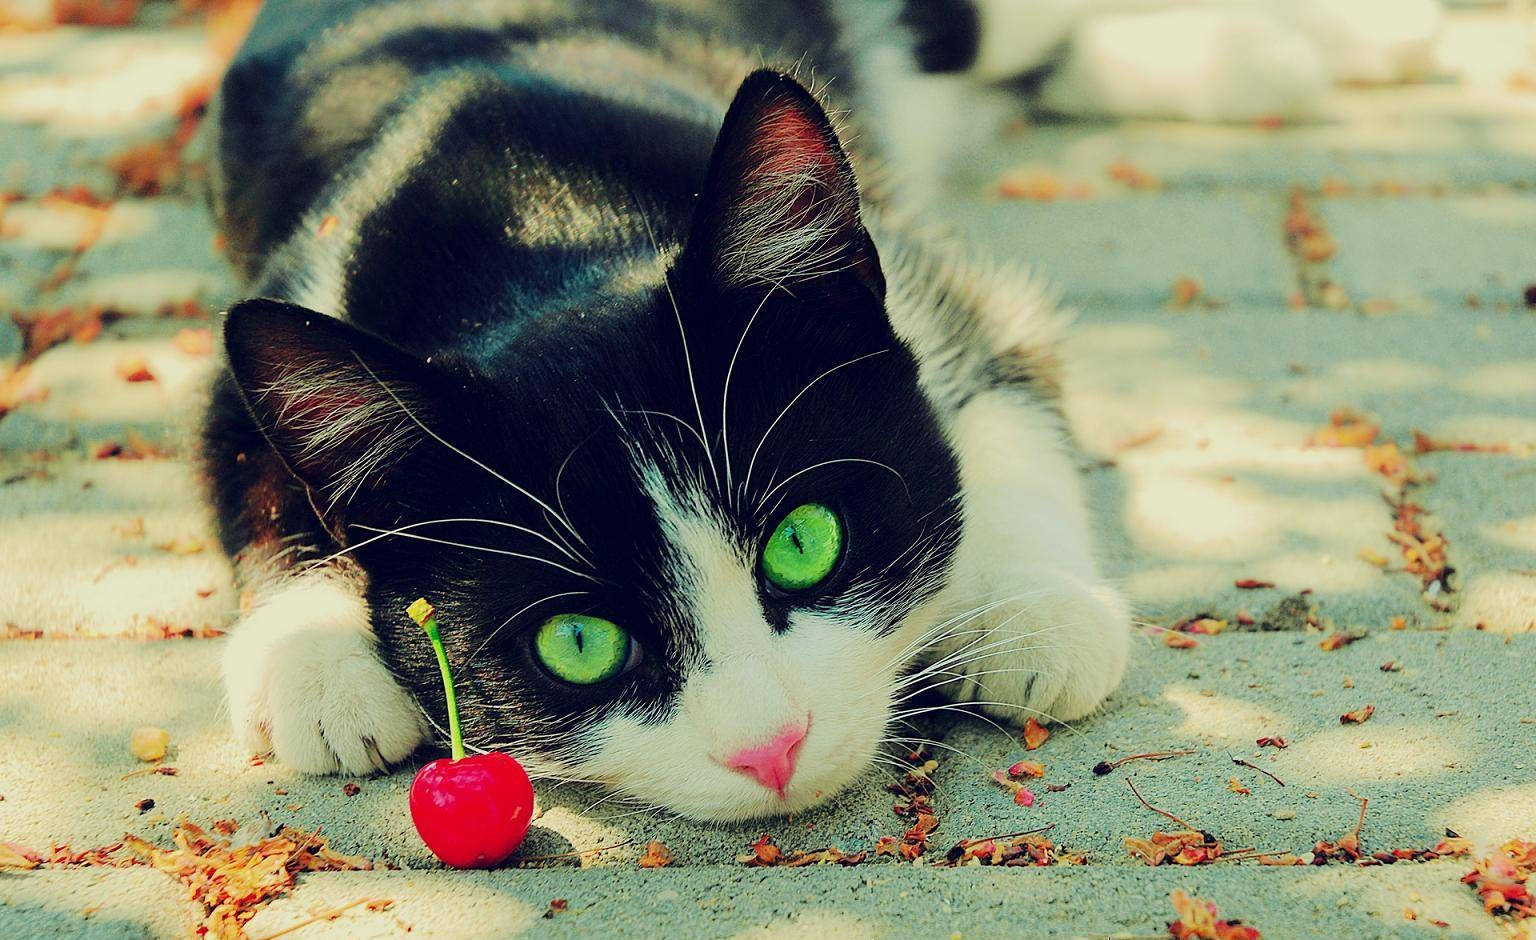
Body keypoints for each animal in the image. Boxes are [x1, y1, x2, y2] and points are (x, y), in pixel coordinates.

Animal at [201, 0, 1130, 823]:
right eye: (579, 643)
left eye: (804, 542)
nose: (771, 747)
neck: (542, 220)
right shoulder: (283, 303)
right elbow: (252, 467)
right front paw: (317, 661)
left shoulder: (931, 283)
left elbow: (1006, 371)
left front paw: (1037, 611)